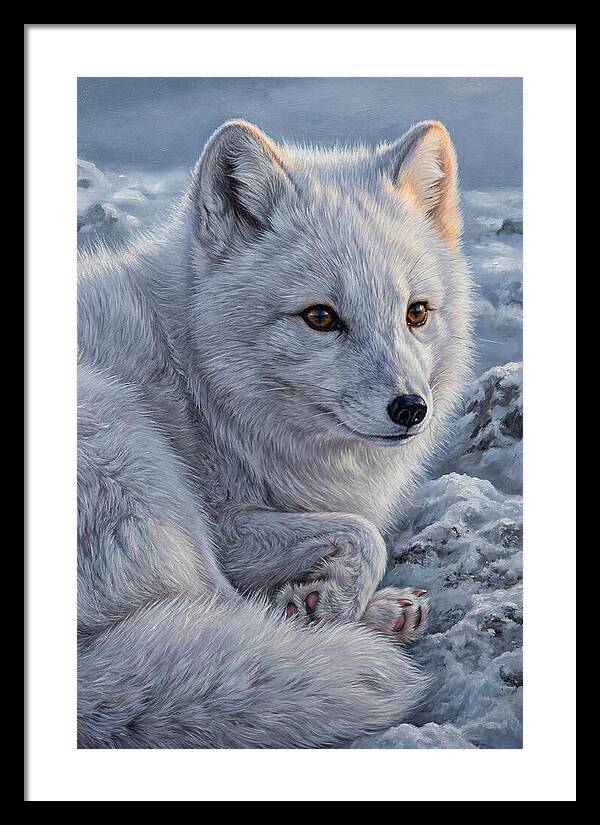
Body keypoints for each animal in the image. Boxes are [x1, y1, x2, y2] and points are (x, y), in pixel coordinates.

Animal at [77, 118, 473, 748]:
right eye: (320, 317)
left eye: (416, 313)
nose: (411, 409)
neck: (196, 377)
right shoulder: (224, 523)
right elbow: (366, 534)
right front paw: (329, 603)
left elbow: (356, 533)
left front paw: (325, 598)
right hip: (131, 451)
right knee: (224, 611)